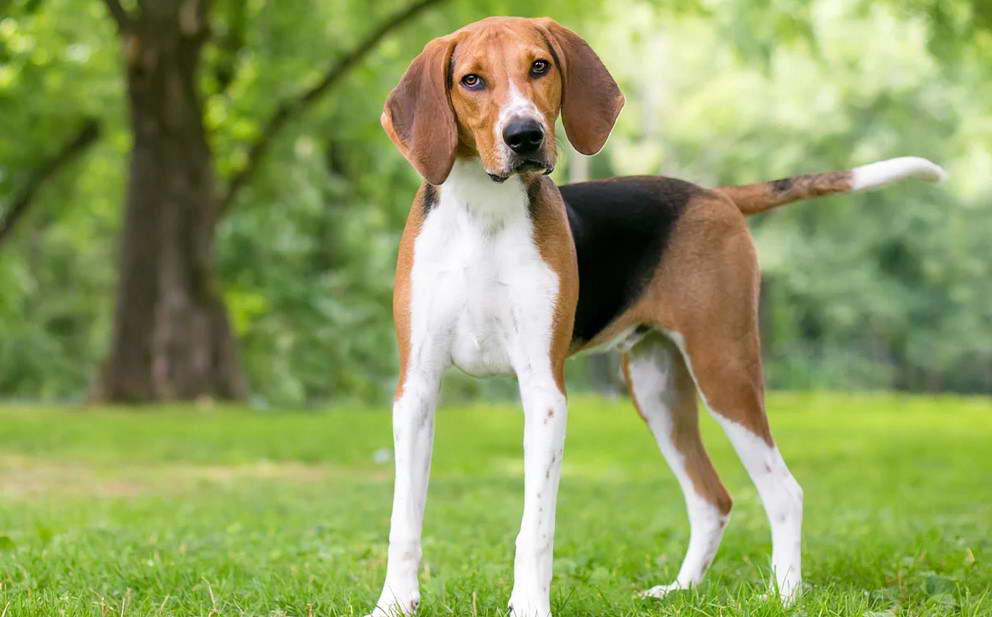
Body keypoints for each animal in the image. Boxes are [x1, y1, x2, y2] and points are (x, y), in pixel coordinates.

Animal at [364, 15, 944, 616]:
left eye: (539, 67)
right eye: (472, 80)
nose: (524, 136)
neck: (482, 215)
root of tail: (714, 195)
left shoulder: (543, 392)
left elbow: (536, 527)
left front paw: (529, 605)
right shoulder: (417, 388)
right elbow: (404, 520)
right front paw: (393, 604)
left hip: (723, 369)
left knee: (783, 491)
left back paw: (784, 594)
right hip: (657, 389)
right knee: (712, 498)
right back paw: (682, 590)